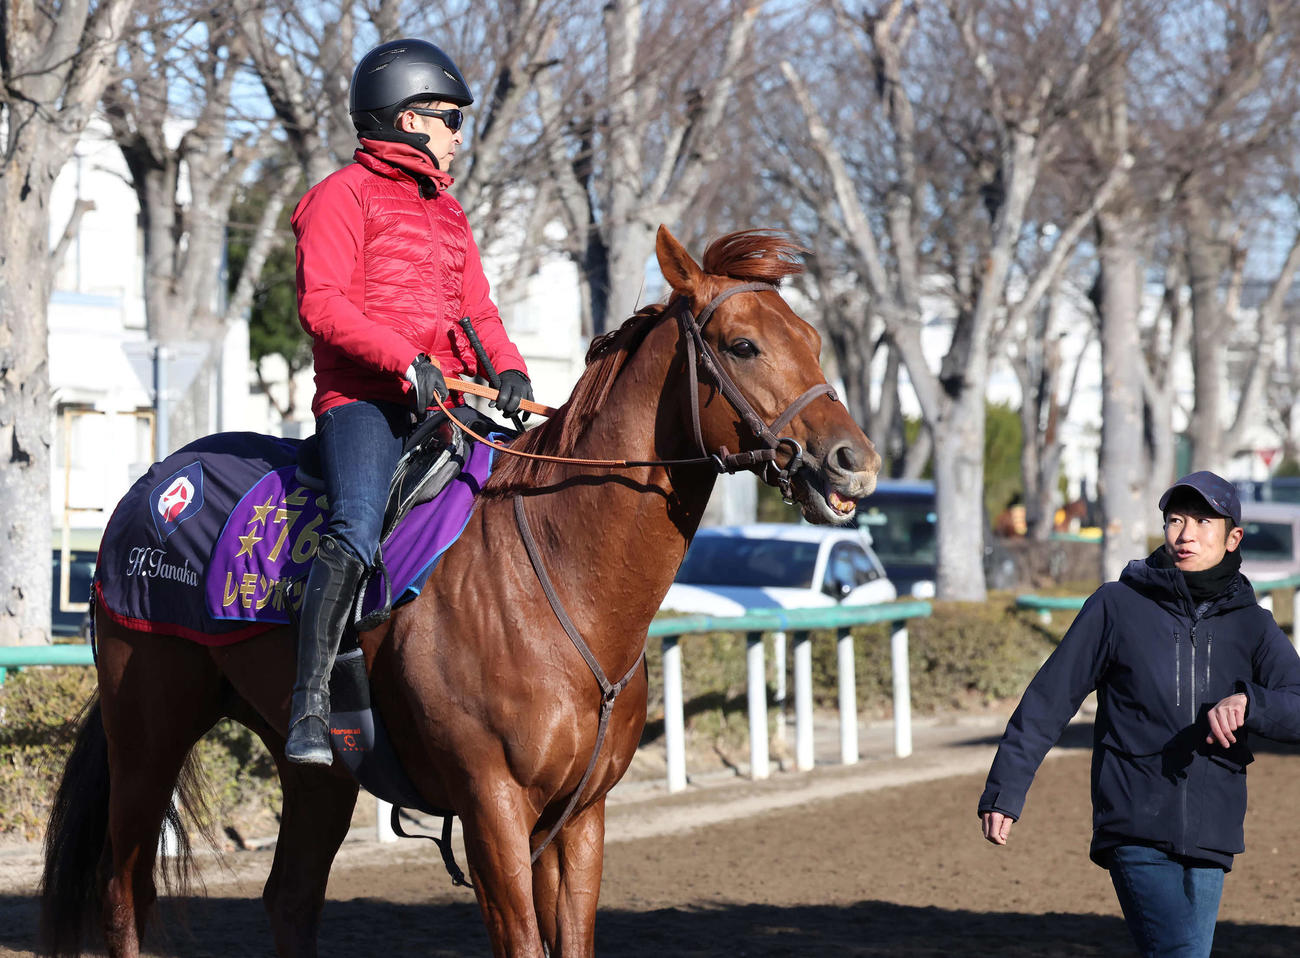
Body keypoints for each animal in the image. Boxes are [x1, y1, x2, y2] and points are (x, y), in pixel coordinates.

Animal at [39, 225, 881, 958]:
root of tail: (153, 484)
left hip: (317, 770)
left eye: (812, 340)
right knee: (126, 894)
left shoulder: (579, 815)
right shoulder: (492, 807)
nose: (854, 461)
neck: (559, 579)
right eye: (743, 345)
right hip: (148, 731)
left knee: (289, 899)